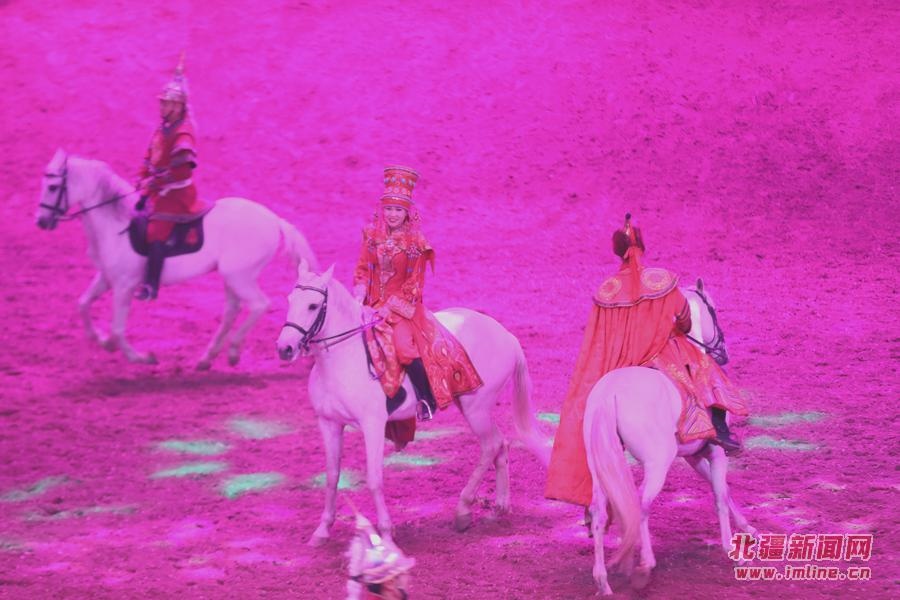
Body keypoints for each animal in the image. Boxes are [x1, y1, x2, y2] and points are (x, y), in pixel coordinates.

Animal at [35, 149, 318, 368]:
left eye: (52, 187)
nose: (41, 222)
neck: (117, 224)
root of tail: (274, 219)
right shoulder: (107, 278)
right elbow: (83, 304)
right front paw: (102, 341)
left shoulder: (124, 285)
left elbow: (117, 328)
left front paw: (140, 357)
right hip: (233, 277)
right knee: (232, 310)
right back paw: (207, 358)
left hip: (239, 277)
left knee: (260, 305)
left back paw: (232, 352)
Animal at [275, 259, 551, 545]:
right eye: (290, 300)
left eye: (313, 305)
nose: (285, 348)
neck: (343, 359)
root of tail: (507, 336)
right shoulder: (328, 423)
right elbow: (332, 477)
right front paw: (322, 531)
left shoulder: (373, 425)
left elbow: (374, 479)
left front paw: (385, 533)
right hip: (475, 408)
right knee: (501, 445)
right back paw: (500, 507)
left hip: (477, 409)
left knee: (491, 445)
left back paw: (463, 510)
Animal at [583, 280, 756, 595]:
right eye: (714, 309)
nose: (723, 352)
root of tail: (608, 394)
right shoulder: (717, 452)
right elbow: (719, 494)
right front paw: (730, 549)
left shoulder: (694, 455)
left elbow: (722, 490)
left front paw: (749, 529)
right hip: (657, 464)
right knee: (641, 505)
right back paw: (644, 566)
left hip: (599, 466)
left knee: (599, 511)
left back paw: (603, 580)